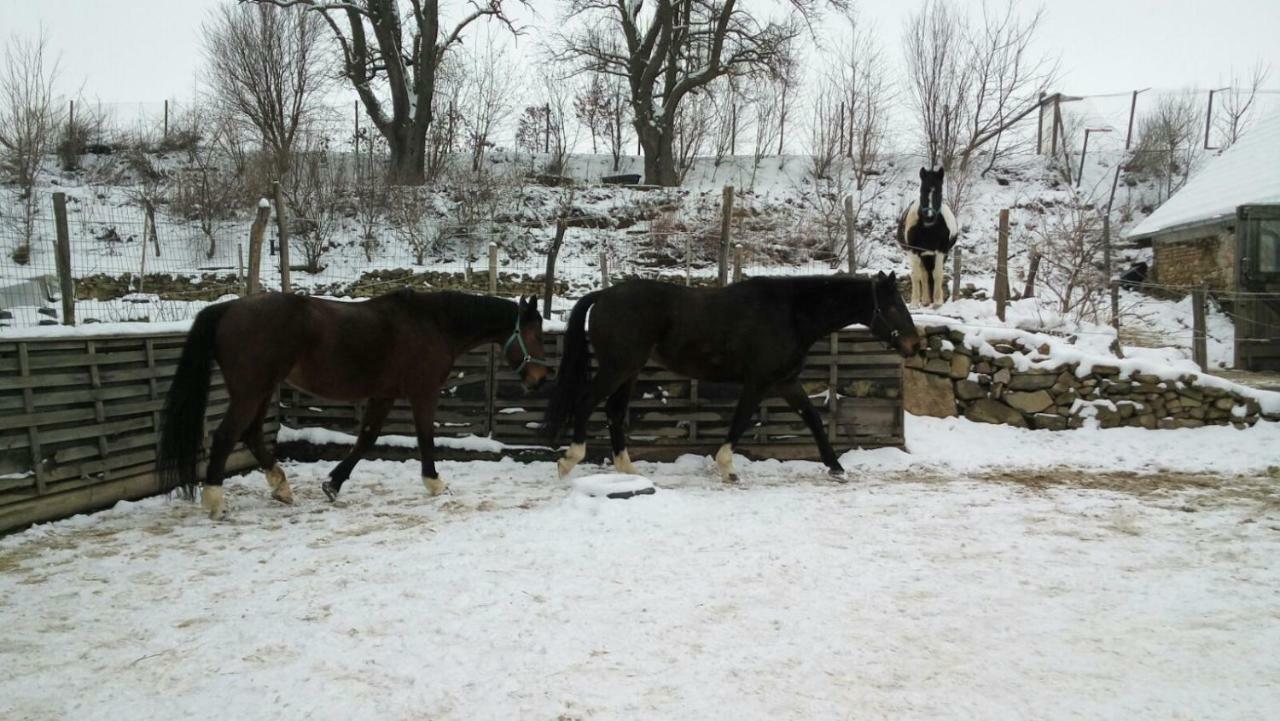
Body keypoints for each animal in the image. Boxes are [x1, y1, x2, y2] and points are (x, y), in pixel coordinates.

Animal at [157, 288, 547, 519]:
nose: (539, 379)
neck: (433, 323)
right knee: (226, 436)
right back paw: (216, 501)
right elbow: (424, 438)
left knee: (251, 434)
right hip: (251, 391)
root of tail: (228, 308)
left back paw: (282, 488)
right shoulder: (423, 392)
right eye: (534, 333)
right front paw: (435, 483)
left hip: (262, 391)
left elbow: (367, 438)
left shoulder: (384, 394)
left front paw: (333, 484)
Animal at [540, 274, 921, 481]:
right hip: (617, 367)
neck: (790, 313)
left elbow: (812, 418)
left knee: (614, 412)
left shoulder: (786, 382)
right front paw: (727, 468)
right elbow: (740, 421)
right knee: (586, 403)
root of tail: (603, 295)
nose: (915, 345)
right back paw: (569, 461)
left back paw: (628, 470)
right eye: (891, 307)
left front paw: (836, 466)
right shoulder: (758, 382)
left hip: (629, 371)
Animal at [896, 167, 957, 307]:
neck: (928, 229)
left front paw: (938, 302)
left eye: (939, 191)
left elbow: (938, 274)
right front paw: (914, 303)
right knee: (923, 274)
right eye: (922, 190)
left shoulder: (941, 251)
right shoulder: (913, 251)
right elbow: (916, 275)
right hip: (921, 255)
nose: (929, 216)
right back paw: (924, 300)